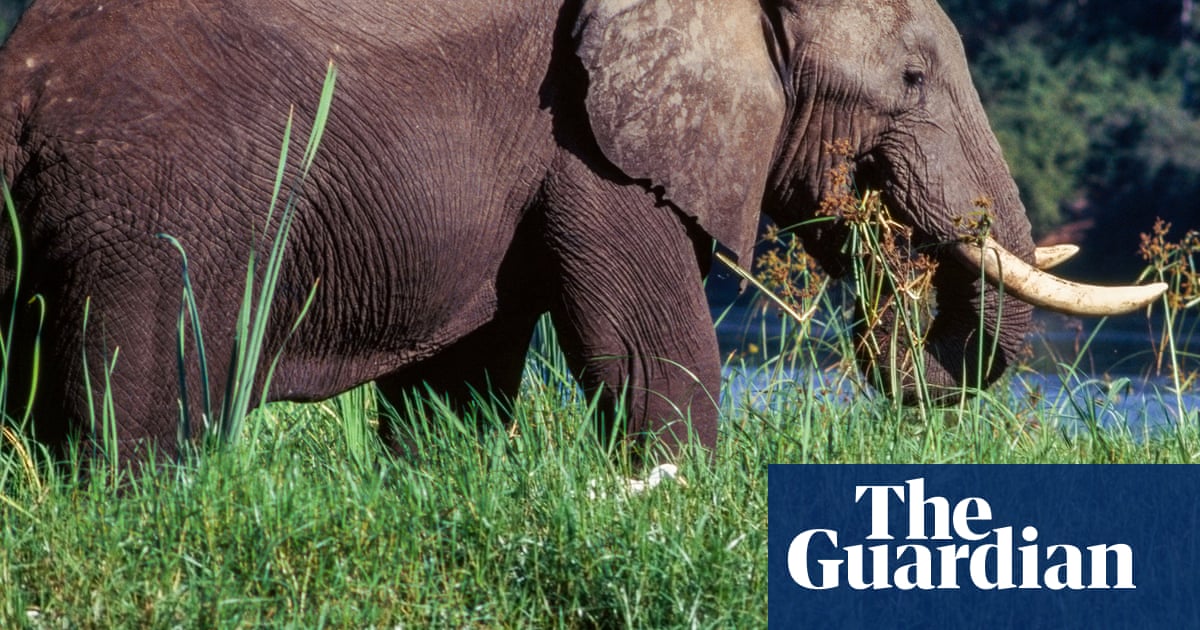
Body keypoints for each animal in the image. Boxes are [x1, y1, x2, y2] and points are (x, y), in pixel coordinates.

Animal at [0, 0, 1164, 466]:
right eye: (913, 79)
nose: (881, 237)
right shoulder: (584, 136)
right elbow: (651, 353)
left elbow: (460, 378)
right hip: (152, 211)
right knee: (142, 401)